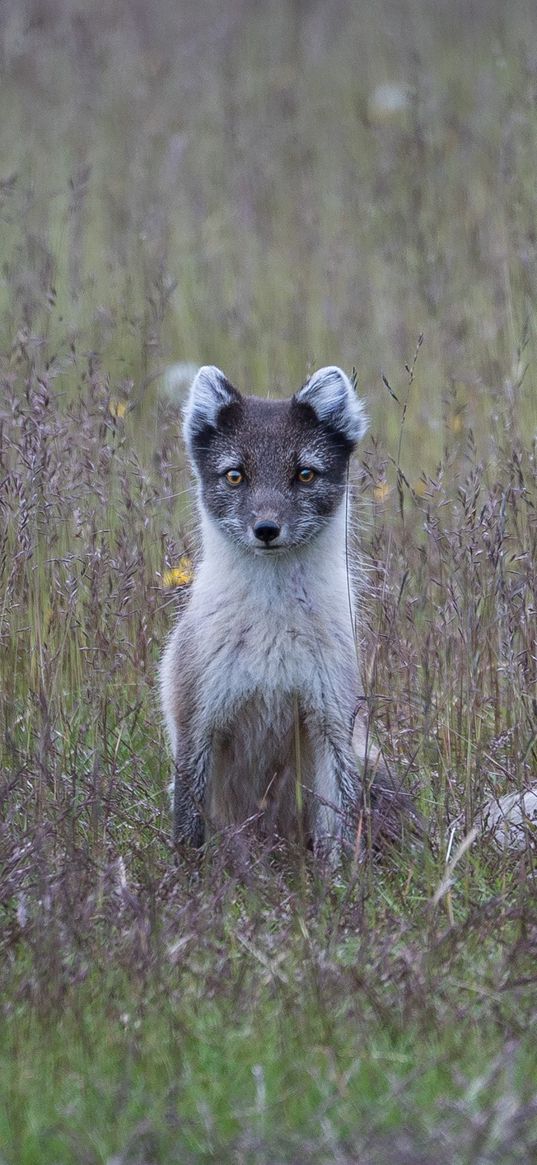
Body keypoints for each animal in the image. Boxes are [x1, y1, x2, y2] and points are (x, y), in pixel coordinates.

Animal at [160, 365, 407, 866]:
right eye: (235, 476)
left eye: (305, 474)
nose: (267, 529)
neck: (272, 636)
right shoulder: (195, 721)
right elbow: (189, 825)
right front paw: (186, 878)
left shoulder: (333, 720)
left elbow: (338, 824)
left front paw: (341, 882)